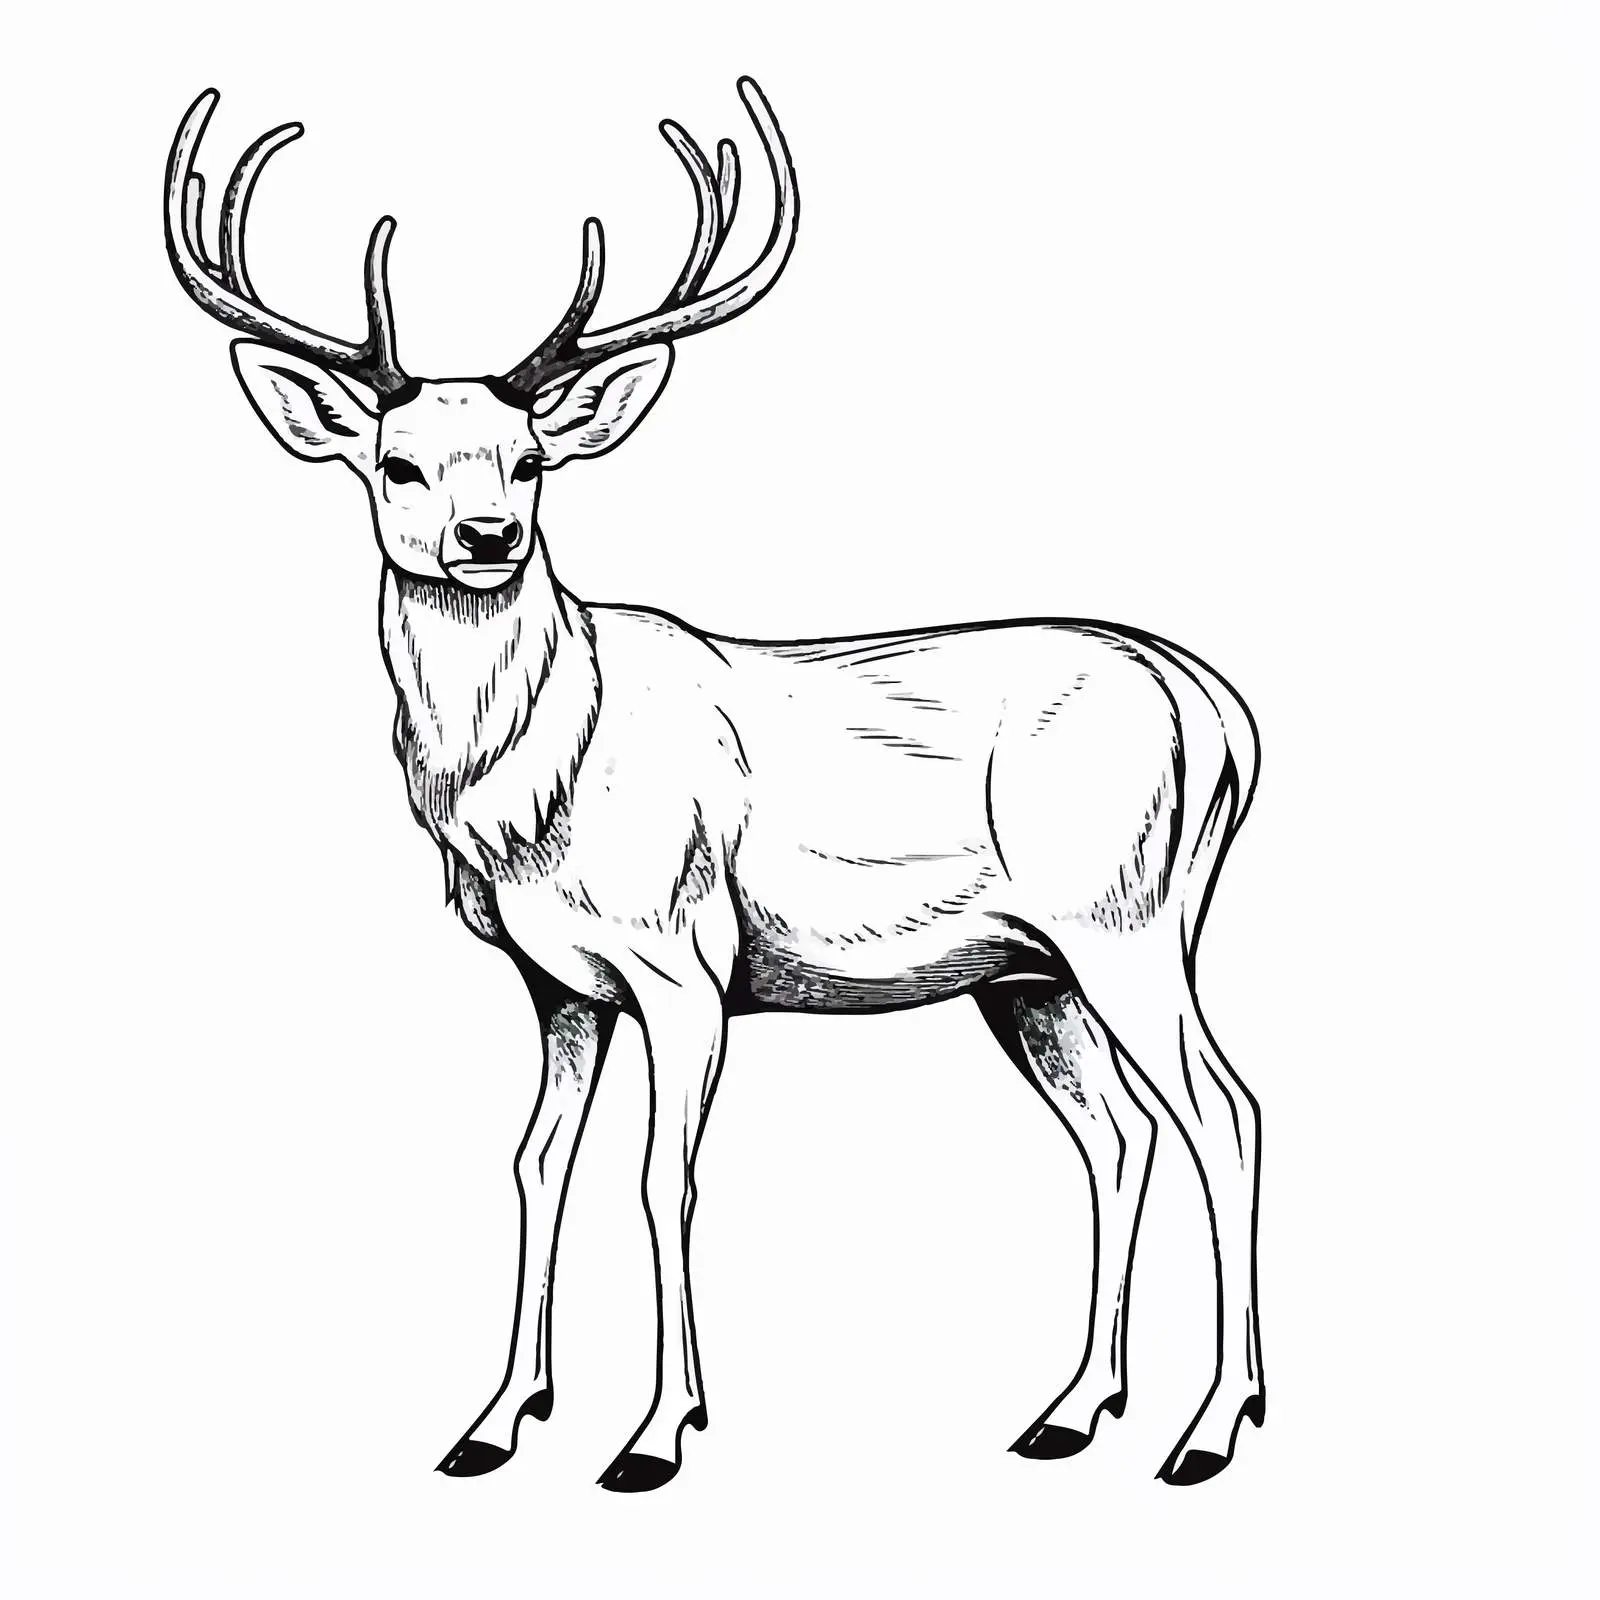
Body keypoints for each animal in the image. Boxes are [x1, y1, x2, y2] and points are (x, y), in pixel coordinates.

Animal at [164, 76, 1265, 1492]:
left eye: (529, 461)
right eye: (397, 464)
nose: (486, 537)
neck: (527, 798)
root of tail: (1217, 709)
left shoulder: (685, 957)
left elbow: (658, 1178)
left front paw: (653, 1434)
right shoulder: (558, 983)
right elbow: (536, 1167)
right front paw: (493, 1419)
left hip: (1126, 919)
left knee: (1223, 1112)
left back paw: (1212, 1424)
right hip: (1030, 974)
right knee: (1119, 1135)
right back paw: (1074, 1407)